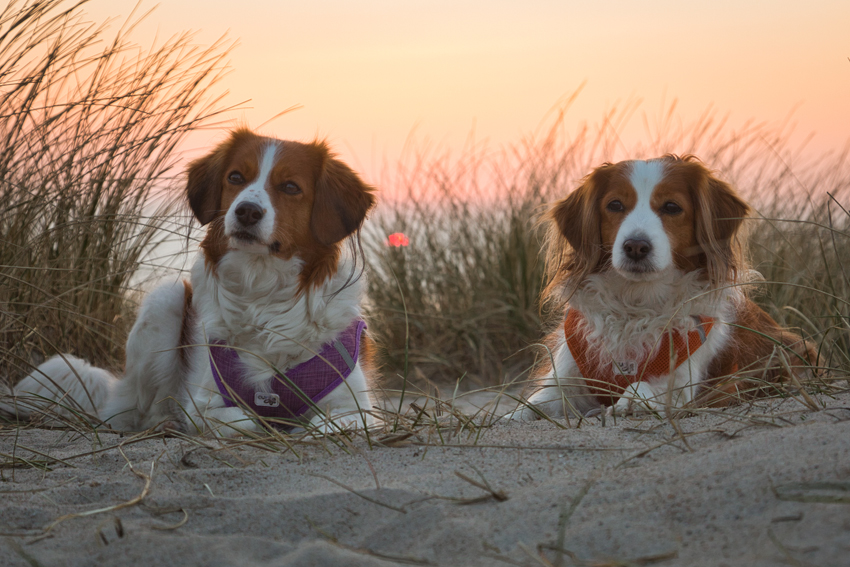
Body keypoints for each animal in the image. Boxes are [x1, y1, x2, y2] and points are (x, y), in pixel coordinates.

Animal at [6, 131, 378, 438]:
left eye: (290, 187)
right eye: (235, 177)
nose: (246, 211)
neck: (263, 292)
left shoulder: (357, 407)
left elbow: (331, 423)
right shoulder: (204, 401)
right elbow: (239, 419)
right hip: (165, 299)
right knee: (139, 414)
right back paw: (163, 423)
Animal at [510, 155, 816, 422]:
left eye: (671, 207)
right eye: (615, 205)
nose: (635, 246)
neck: (637, 303)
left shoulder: (682, 380)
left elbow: (645, 387)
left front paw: (629, 402)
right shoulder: (566, 377)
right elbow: (531, 407)